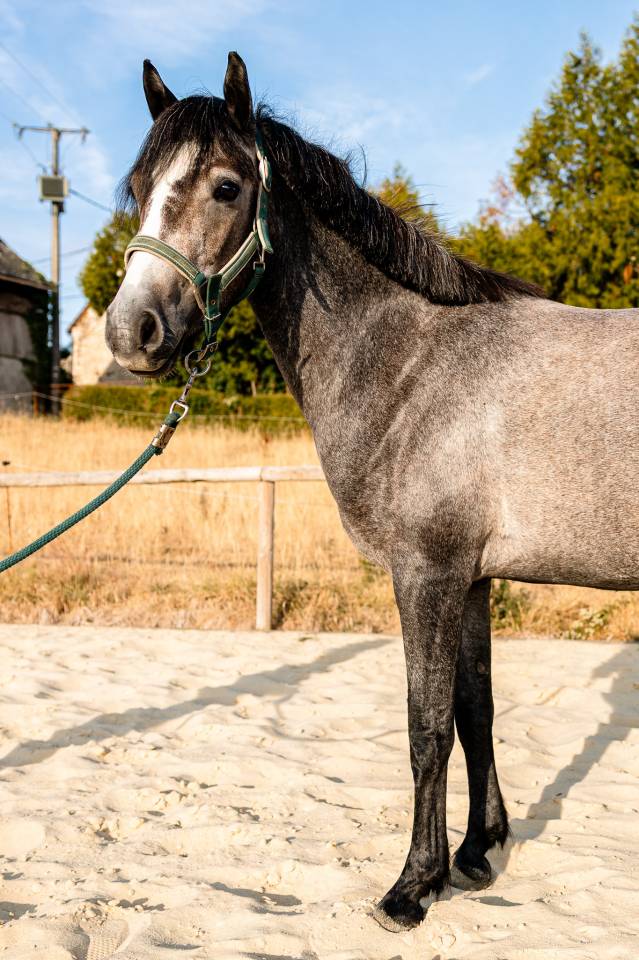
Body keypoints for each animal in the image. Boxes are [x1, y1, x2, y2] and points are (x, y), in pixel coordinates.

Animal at [105, 53, 639, 932]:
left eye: (225, 187)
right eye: (139, 186)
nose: (129, 332)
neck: (414, 365)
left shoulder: (425, 574)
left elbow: (426, 729)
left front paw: (412, 887)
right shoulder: (469, 580)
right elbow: (474, 712)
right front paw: (477, 852)